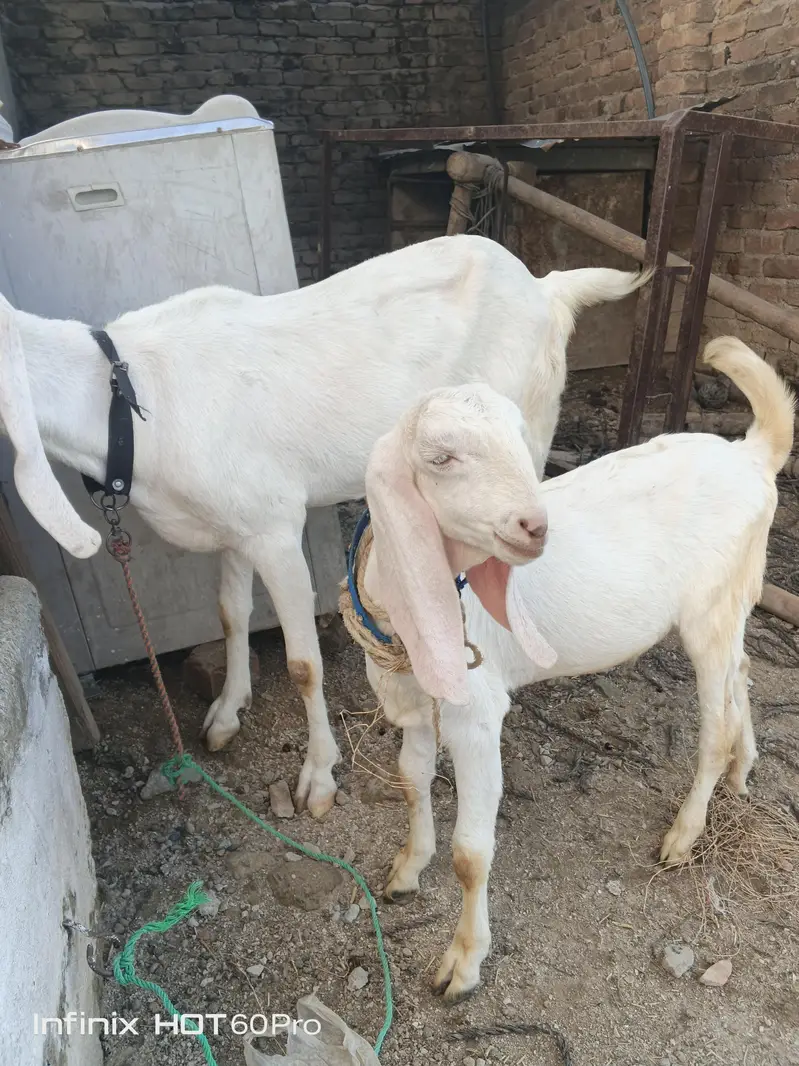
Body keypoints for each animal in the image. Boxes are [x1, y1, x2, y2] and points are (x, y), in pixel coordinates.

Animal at [0, 233, 647, 817]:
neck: (131, 402)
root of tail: (545, 286)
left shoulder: (274, 527)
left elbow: (304, 665)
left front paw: (318, 778)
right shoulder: (234, 522)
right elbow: (231, 614)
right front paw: (225, 714)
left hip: (526, 433)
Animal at [357, 338, 794, 1001]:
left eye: (521, 440)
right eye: (440, 458)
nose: (534, 525)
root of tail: (750, 454)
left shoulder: (476, 714)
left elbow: (470, 854)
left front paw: (463, 963)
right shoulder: (410, 699)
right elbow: (411, 778)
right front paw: (408, 867)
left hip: (710, 610)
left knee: (715, 721)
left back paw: (684, 833)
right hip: (736, 598)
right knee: (741, 673)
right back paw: (743, 770)